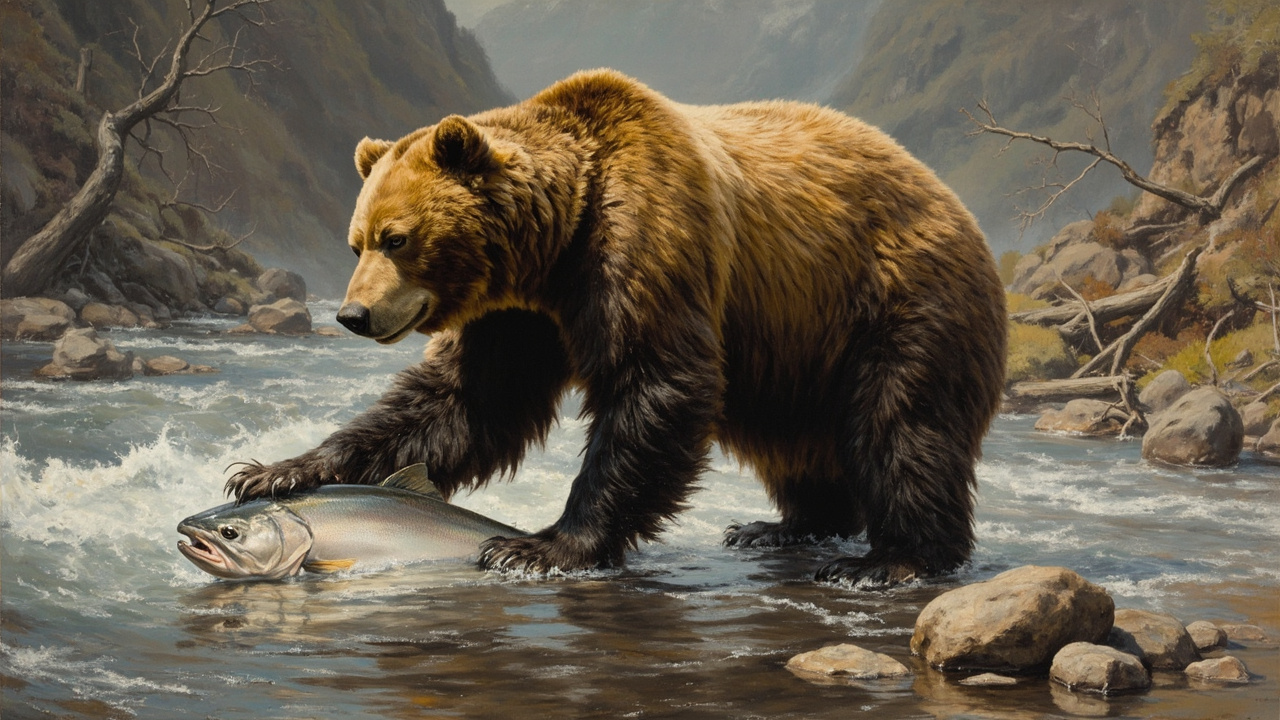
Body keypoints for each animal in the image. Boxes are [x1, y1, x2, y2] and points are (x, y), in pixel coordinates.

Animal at [227, 69, 1007, 586]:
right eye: (355, 239)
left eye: (397, 238)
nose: (352, 315)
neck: (555, 244)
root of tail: (957, 206)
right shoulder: (519, 316)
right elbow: (467, 404)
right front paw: (271, 470)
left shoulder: (649, 240)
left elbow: (656, 384)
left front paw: (541, 545)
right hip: (794, 345)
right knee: (790, 437)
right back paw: (778, 526)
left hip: (894, 298)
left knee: (901, 424)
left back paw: (890, 559)